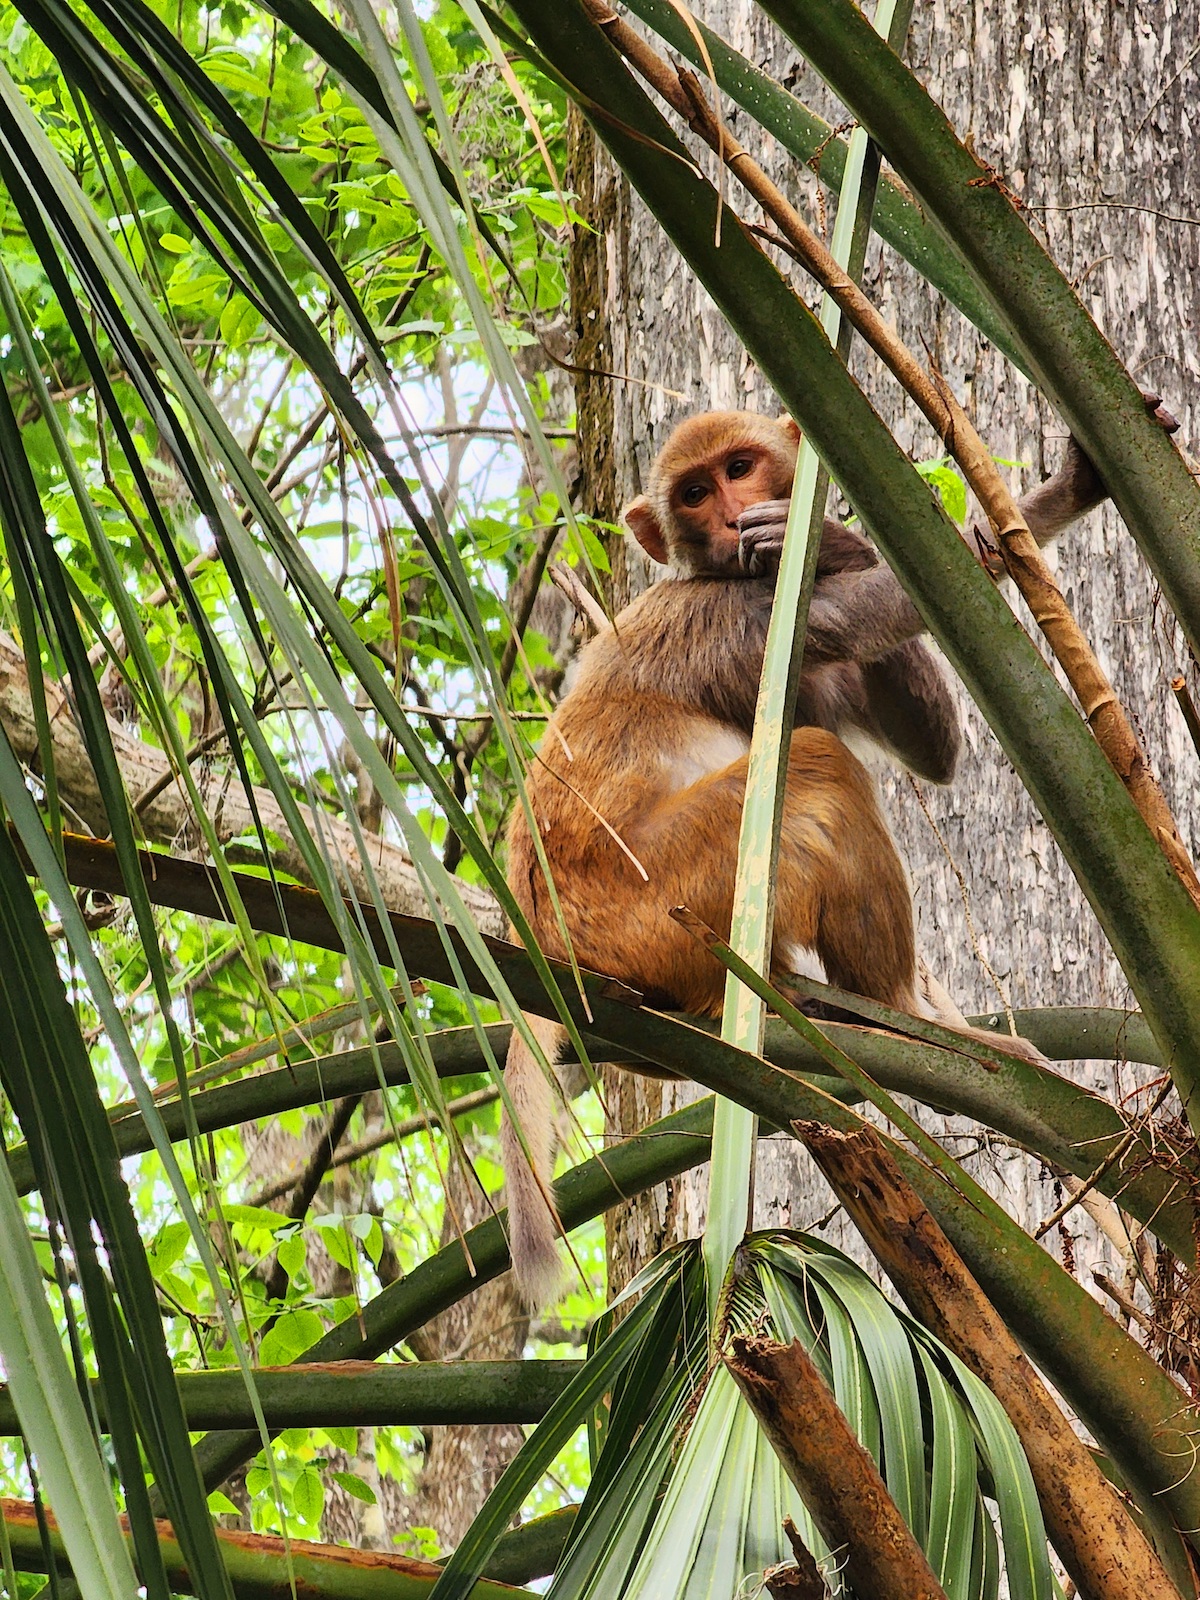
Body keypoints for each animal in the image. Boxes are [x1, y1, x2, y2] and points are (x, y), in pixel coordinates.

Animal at [502, 393, 1177, 1305]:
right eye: (692, 493)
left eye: (739, 468)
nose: (728, 516)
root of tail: (548, 947)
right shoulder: (733, 619)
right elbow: (873, 610)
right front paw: (1062, 493)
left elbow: (933, 750)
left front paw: (829, 534)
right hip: (667, 903)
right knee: (818, 766)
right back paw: (908, 1022)